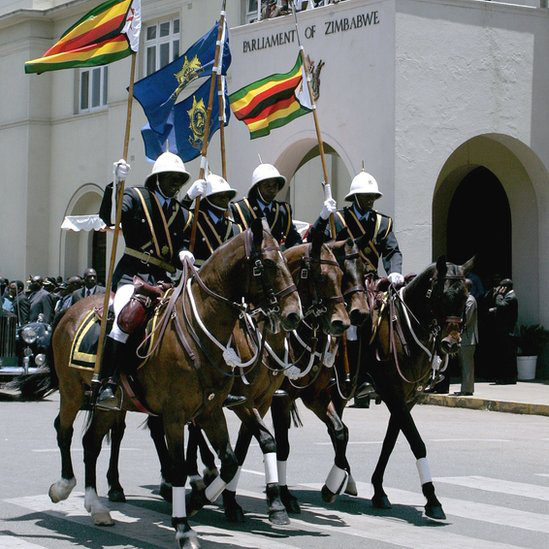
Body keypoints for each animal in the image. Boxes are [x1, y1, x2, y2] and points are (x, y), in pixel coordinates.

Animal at [41, 219, 304, 548]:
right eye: (267, 263)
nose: (294, 314)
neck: (203, 327)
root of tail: (69, 309)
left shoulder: (212, 410)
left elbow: (232, 460)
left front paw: (198, 500)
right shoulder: (176, 415)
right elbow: (180, 469)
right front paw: (183, 527)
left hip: (107, 404)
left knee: (91, 443)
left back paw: (97, 506)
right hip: (72, 391)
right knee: (63, 430)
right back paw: (63, 486)